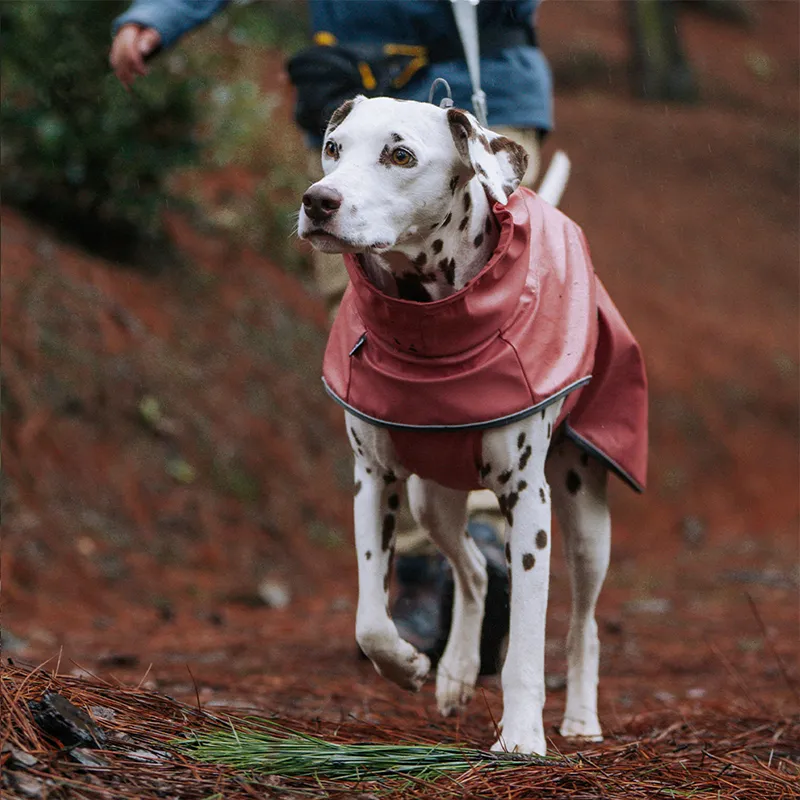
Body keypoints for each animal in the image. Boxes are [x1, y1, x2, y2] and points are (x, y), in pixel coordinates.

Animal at [300, 97, 612, 752]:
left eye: (400, 154)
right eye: (334, 147)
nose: (318, 201)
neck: (429, 328)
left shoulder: (529, 504)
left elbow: (526, 647)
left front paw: (522, 738)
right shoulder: (374, 480)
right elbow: (370, 619)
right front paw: (407, 664)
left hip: (586, 525)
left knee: (584, 624)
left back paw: (580, 718)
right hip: (432, 502)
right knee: (471, 571)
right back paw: (457, 670)